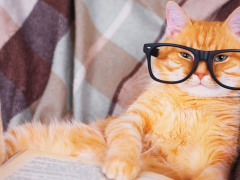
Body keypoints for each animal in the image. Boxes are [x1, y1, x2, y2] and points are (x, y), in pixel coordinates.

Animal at [0, 1, 240, 180]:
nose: (200, 74)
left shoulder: (222, 153)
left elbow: (212, 173)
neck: (193, 105)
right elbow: (127, 140)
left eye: (220, 58)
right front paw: (122, 163)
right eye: (185, 55)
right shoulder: (129, 119)